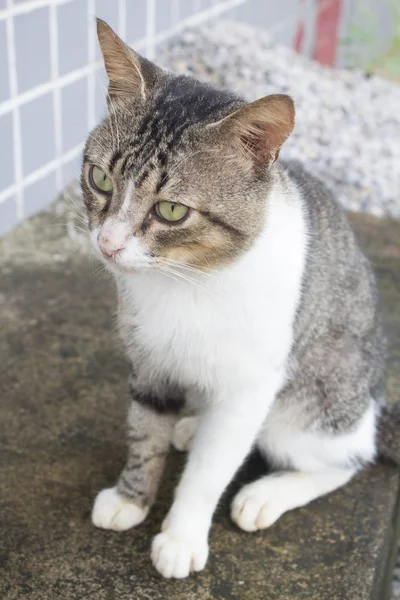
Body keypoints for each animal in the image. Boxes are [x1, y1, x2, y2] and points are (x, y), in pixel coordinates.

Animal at [79, 21, 398, 580]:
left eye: (171, 210)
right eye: (100, 179)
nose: (109, 243)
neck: (184, 282)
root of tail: (374, 405)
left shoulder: (250, 387)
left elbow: (210, 469)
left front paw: (181, 536)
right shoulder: (149, 362)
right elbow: (145, 432)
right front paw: (132, 497)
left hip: (316, 405)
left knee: (346, 459)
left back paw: (267, 493)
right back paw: (190, 426)